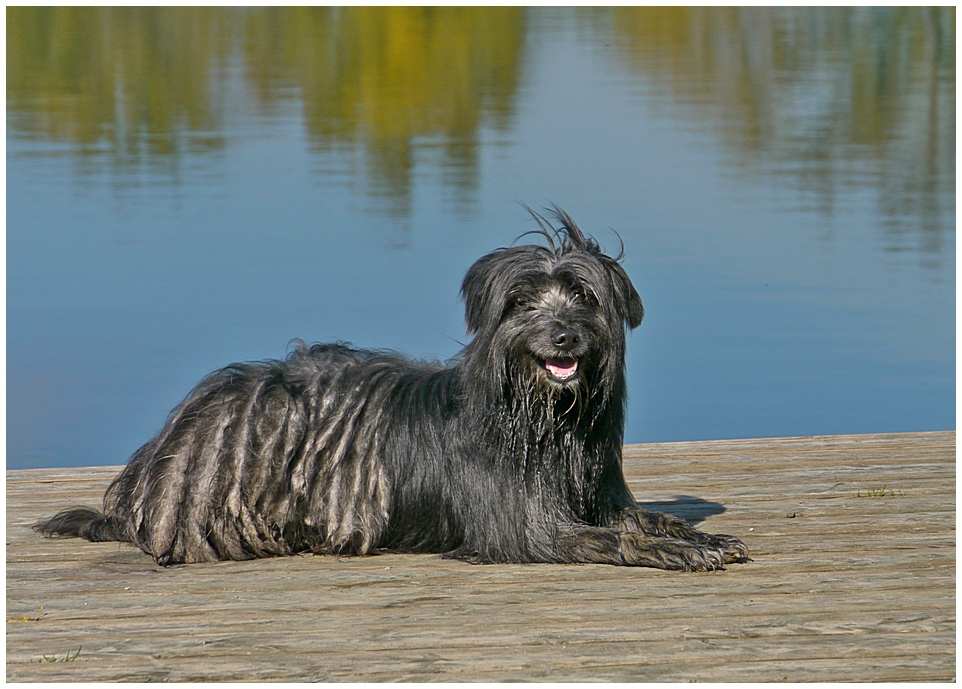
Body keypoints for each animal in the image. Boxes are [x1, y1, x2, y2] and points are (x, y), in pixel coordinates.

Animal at [39, 208, 752, 568]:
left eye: (582, 295)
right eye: (522, 303)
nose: (563, 338)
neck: (544, 418)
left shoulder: (599, 497)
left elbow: (644, 517)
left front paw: (699, 537)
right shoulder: (528, 529)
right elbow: (613, 539)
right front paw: (672, 551)